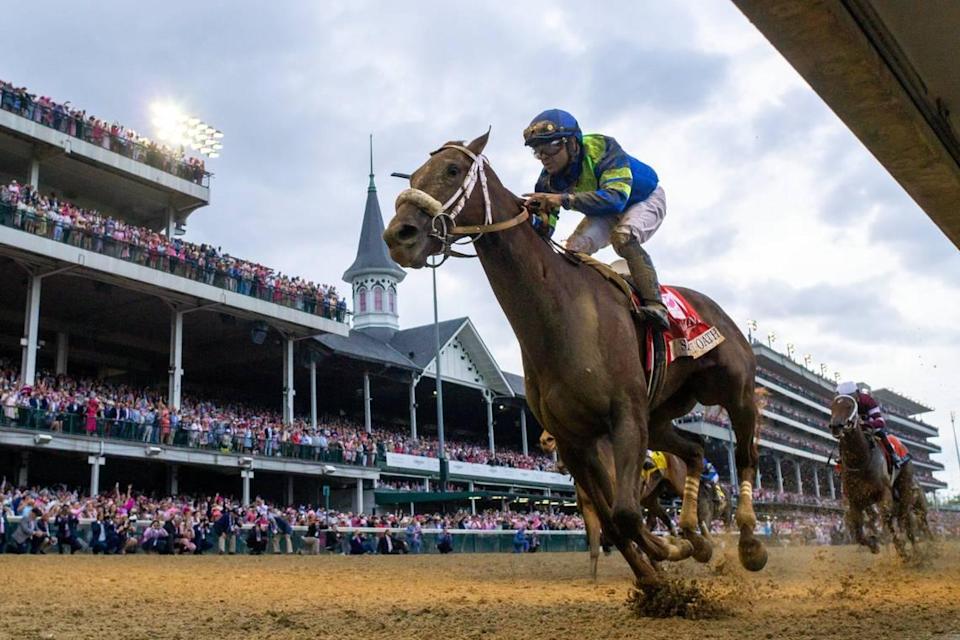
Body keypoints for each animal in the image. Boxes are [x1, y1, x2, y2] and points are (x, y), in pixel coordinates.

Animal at [382, 131, 764, 584]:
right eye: (413, 177)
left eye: (453, 170)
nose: (398, 235)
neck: (560, 316)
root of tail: (717, 311)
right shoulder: (574, 439)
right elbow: (613, 521)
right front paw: (658, 576)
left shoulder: (624, 418)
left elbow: (627, 514)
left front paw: (668, 554)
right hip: (660, 416)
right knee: (694, 450)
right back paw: (694, 535)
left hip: (734, 392)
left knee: (744, 455)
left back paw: (748, 541)